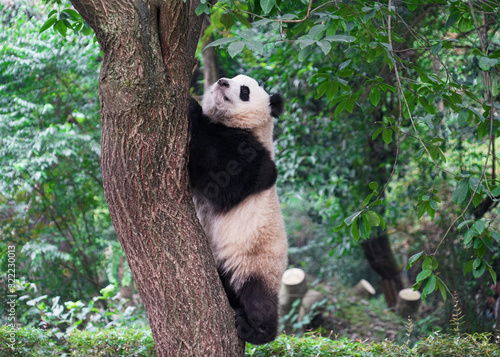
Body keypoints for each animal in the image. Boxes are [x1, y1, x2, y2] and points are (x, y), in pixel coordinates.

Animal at [188, 74, 290, 342]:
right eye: (232, 78)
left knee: (258, 299)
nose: (222, 82)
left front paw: (192, 109)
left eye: (245, 90)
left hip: (257, 262)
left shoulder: (254, 158)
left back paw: (254, 328)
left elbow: (220, 177)